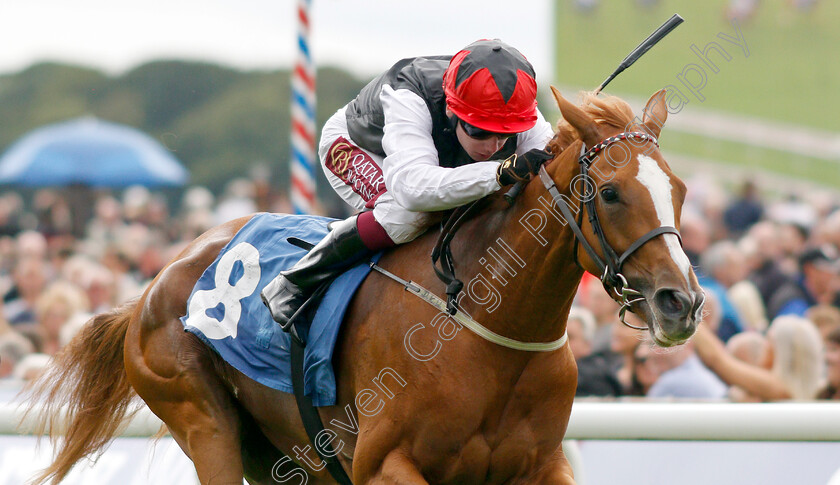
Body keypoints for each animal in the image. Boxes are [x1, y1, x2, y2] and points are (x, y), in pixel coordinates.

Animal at [23, 88, 704, 484]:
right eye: (610, 193)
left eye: (679, 190)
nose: (683, 302)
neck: (493, 334)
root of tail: (155, 282)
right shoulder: (383, 465)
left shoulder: (541, 467)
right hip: (203, 422)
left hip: (281, 459)